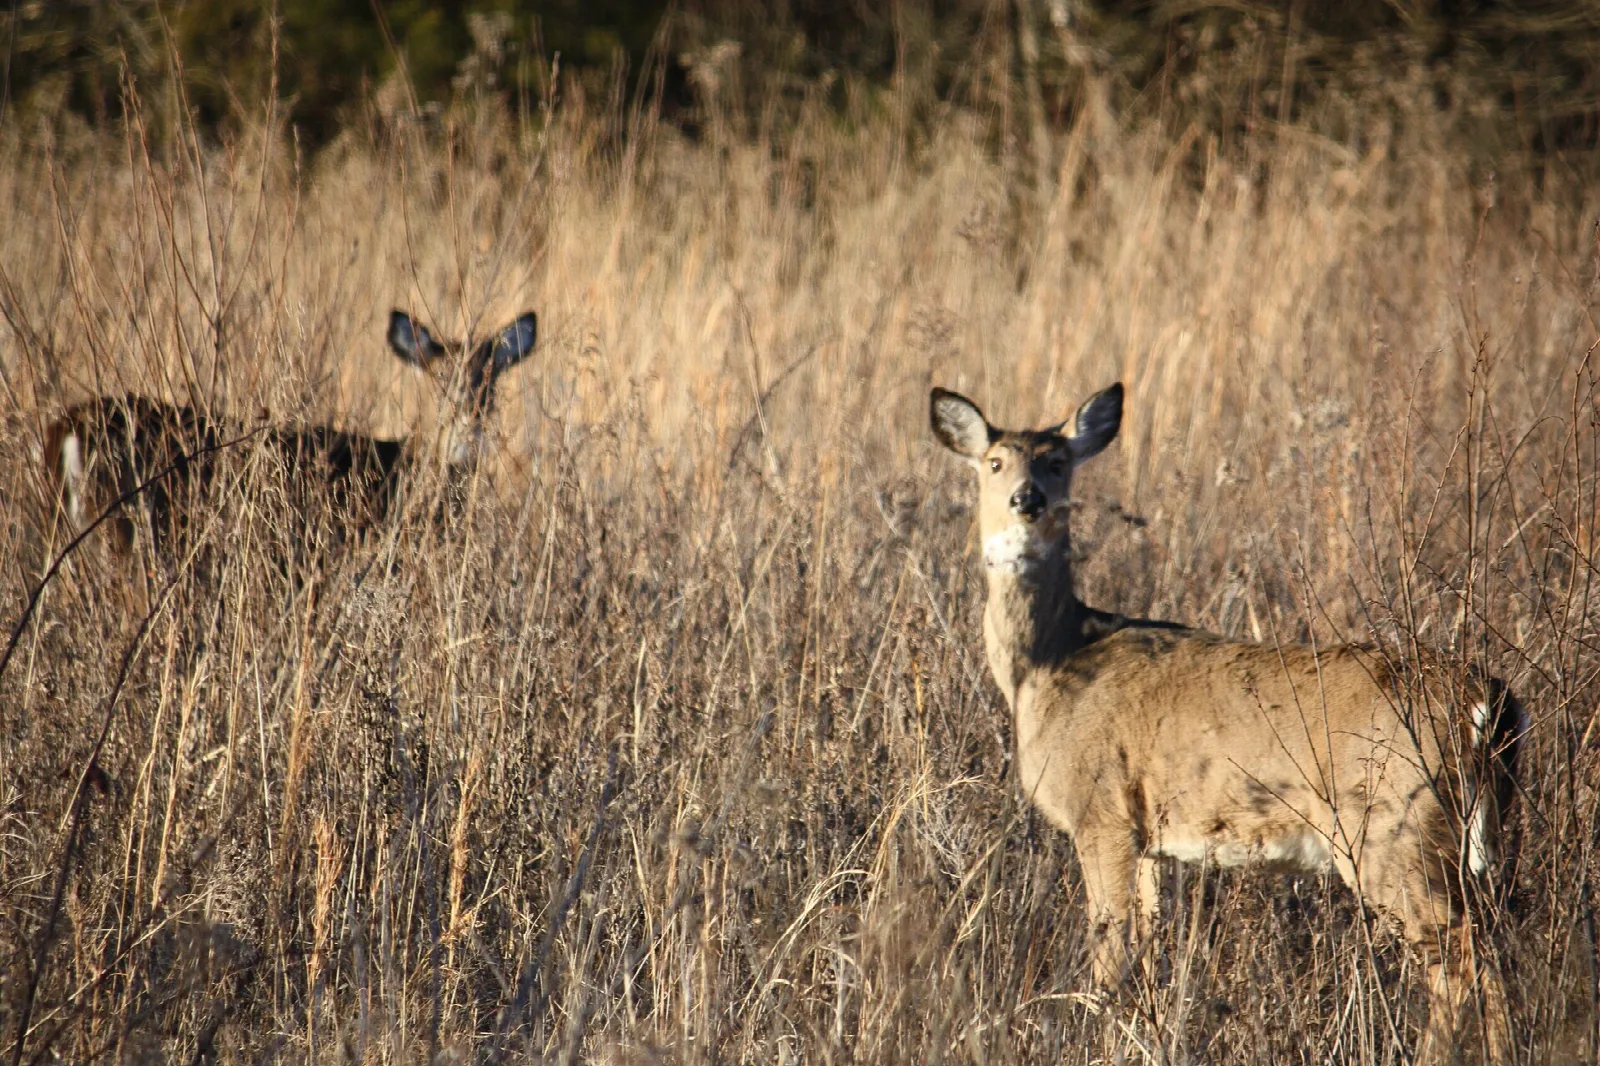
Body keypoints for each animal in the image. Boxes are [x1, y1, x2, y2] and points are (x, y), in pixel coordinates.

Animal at [930, 381, 1525, 1063]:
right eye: (995, 462)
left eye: (1057, 461)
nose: (1026, 499)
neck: (1050, 665)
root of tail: (1487, 700)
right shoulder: (1148, 839)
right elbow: (1146, 955)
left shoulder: (1100, 811)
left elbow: (1110, 959)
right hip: (1463, 838)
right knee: (1491, 951)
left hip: (1393, 828)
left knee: (1460, 962)